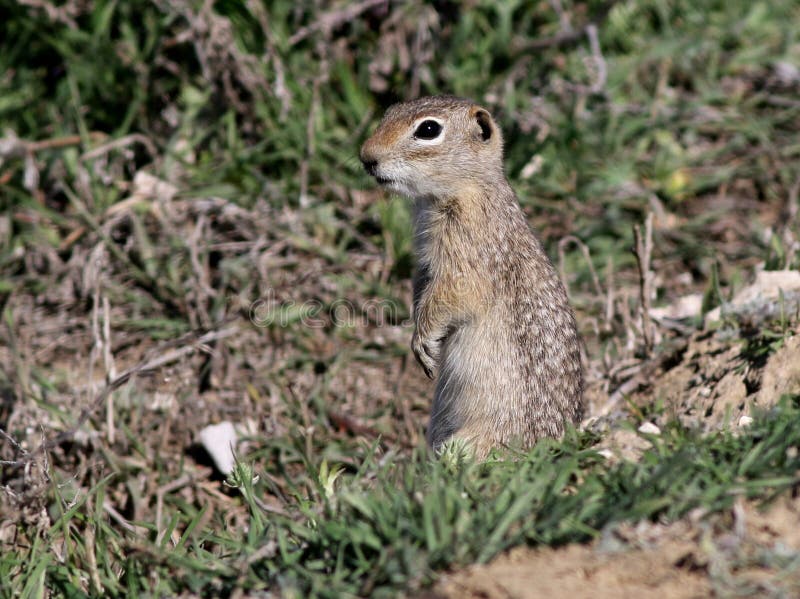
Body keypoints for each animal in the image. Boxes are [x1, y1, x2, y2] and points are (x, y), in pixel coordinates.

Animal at [360, 95, 583, 457]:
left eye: (428, 129)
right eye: (389, 112)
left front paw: (422, 341)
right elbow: (421, 288)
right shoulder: (425, 264)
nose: (366, 156)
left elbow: (451, 296)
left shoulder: (466, 259)